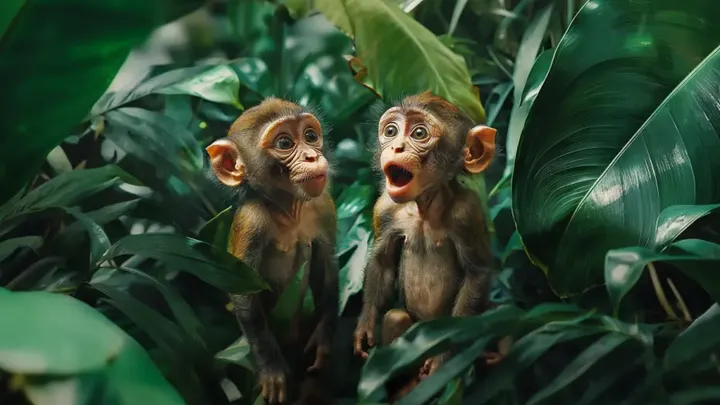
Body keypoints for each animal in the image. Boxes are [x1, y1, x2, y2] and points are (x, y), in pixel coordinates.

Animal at [205, 98, 338, 405]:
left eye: (310, 136)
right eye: (285, 143)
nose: (311, 157)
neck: (288, 210)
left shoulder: (323, 204)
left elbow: (325, 269)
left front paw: (324, 339)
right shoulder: (251, 222)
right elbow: (244, 292)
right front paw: (272, 368)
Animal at [353, 92, 506, 399]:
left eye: (419, 133)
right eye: (391, 131)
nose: (396, 146)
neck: (424, 206)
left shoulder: (467, 212)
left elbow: (477, 273)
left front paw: (443, 357)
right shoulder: (385, 208)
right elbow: (382, 263)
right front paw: (365, 324)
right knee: (396, 317)